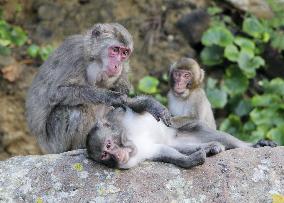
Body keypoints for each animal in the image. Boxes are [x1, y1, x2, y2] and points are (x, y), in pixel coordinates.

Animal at [26, 23, 169, 154]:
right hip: (54, 145)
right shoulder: (75, 57)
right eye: (115, 50)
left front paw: (149, 104)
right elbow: (56, 93)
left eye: (125, 52)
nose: (118, 65)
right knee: (74, 110)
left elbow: (125, 100)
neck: (92, 60)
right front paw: (108, 96)